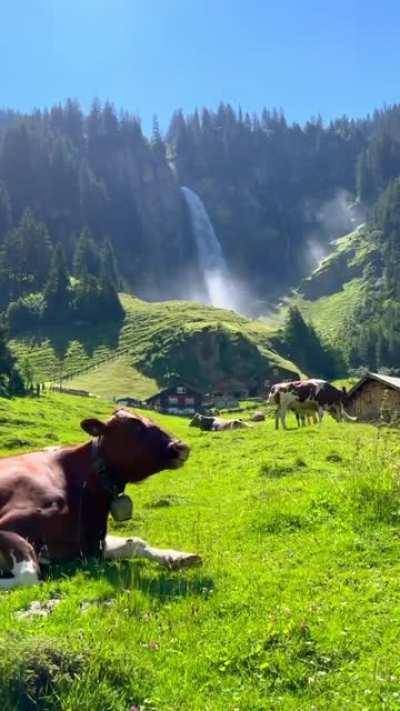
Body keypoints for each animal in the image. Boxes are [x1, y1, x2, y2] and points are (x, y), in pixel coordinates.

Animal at [0, 409, 201, 589]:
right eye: (135, 425)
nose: (181, 446)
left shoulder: (91, 543)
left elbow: (136, 542)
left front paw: (179, 557)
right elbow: (28, 574)